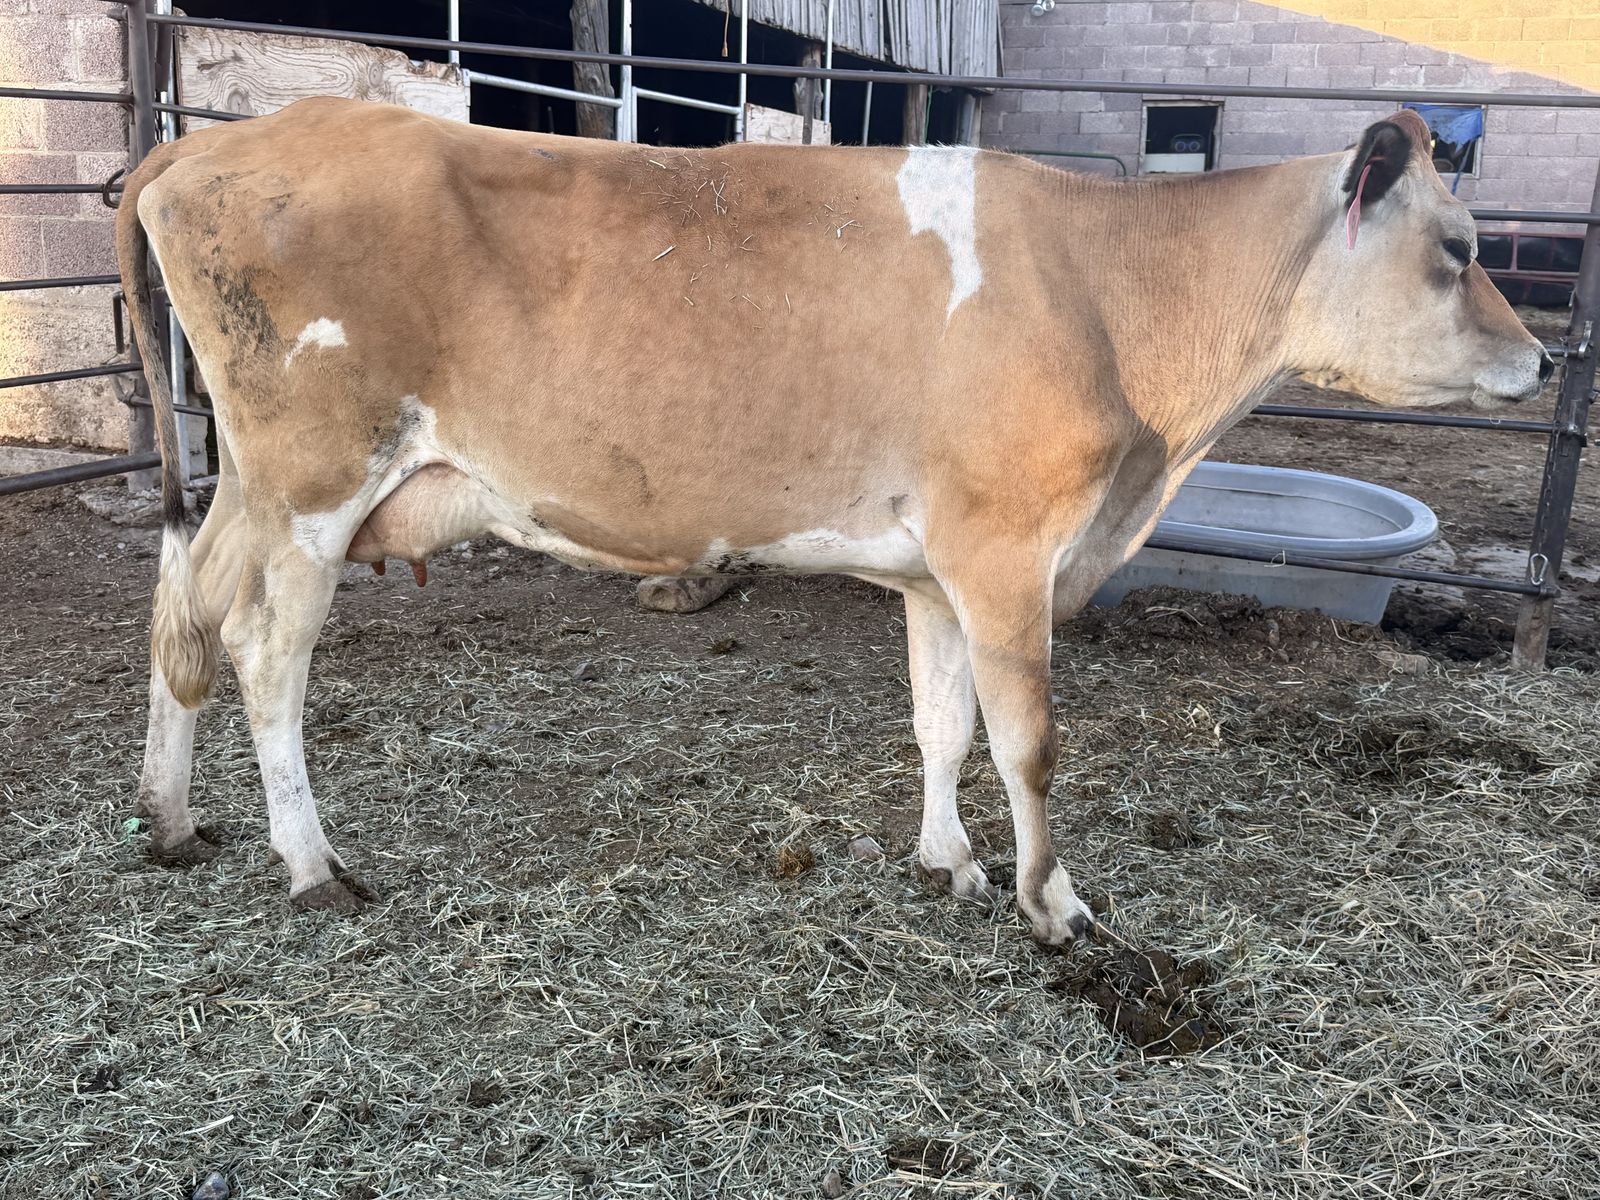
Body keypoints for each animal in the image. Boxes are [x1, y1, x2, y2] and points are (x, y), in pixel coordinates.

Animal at [118, 99, 1550, 938]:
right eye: (1462, 248)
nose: (1543, 363)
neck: (1116, 293)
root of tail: (209, 140)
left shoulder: (936, 566)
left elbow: (942, 722)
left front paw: (947, 863)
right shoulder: (1006, 548)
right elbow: (1029, 743)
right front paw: (1052, 902)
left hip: (254, 486)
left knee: (181, 606)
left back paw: (174, 821)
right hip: (312, 476)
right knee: (264, 654)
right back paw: (311, 863)